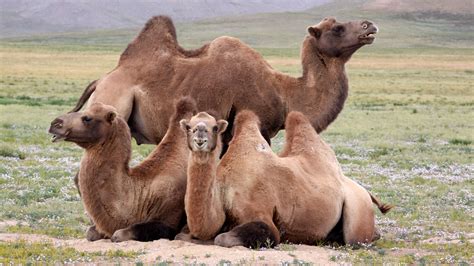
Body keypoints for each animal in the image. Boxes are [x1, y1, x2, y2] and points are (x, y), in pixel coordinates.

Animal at [72, 16, 380, 150]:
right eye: (337, 28)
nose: (369, 25)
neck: (283, 91)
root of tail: (102, 80)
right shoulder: (257, 127)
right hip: (114, 101)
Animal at [179, 110, 392, 247]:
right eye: (188, 126)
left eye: (215, 127)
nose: (200, 137)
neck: (224, 189)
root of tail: (366, 191)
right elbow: (182, 236)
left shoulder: (260, 212)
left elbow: (224, 238)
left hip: (358, 208)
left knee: (355, 240)